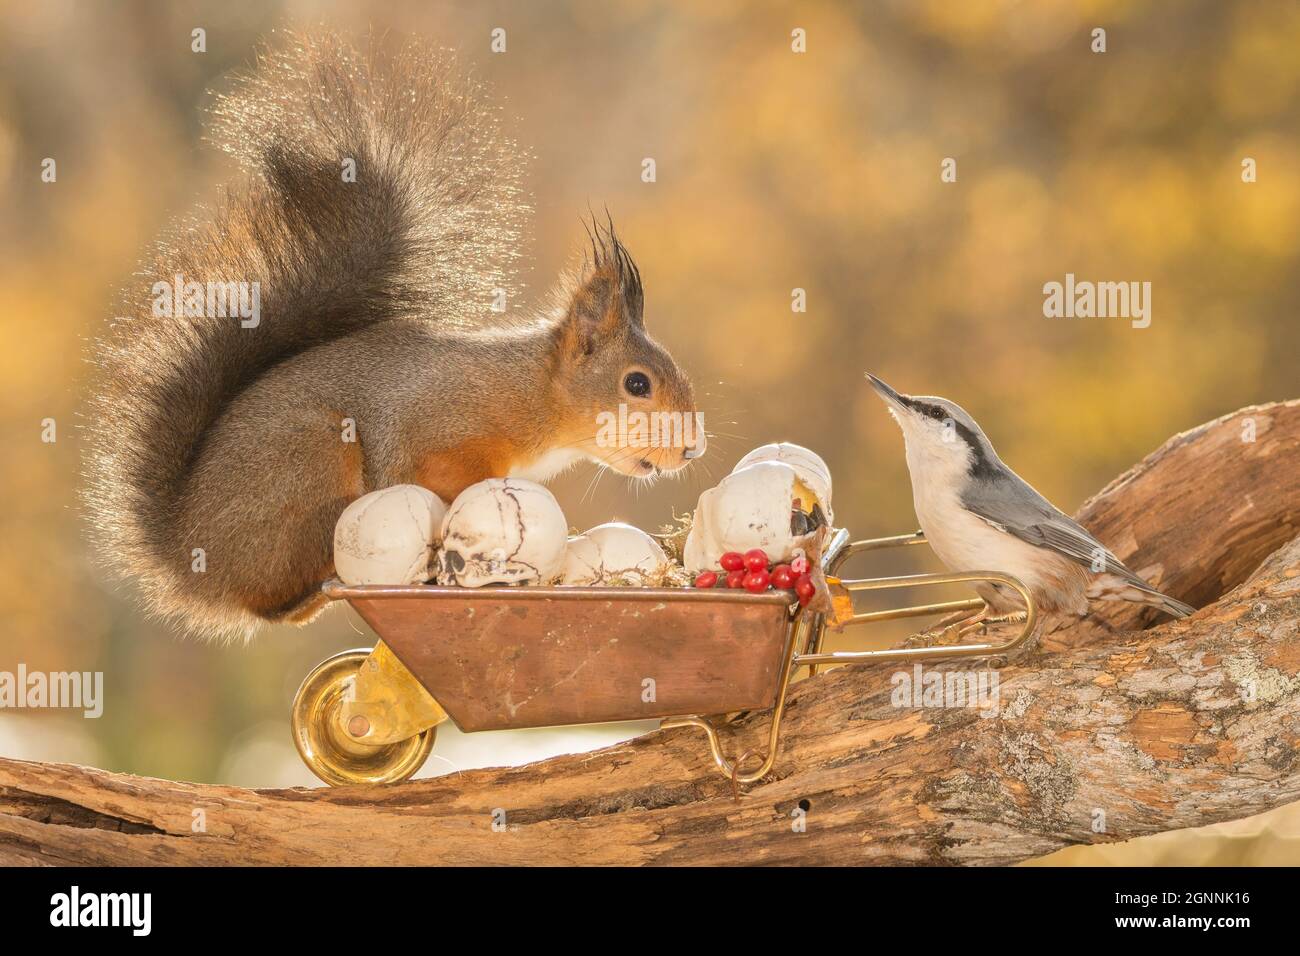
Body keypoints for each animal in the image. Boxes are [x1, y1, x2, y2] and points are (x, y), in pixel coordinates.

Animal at [83, 33, 702, 639]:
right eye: (637, 384)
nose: (692, 448)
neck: (529, 393)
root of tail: (188, 558)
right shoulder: (438, 428)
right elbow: (441, 473)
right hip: (312, 454)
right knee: (273, 603)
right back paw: (327, 586)